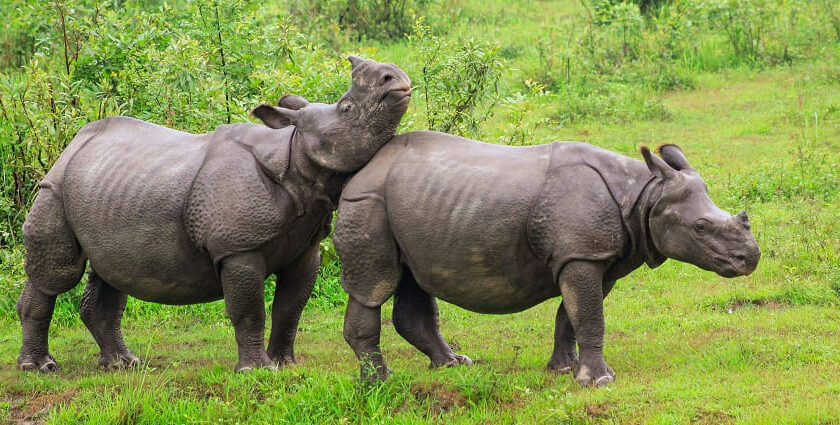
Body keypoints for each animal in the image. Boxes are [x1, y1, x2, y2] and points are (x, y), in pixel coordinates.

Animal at [15, 55, 410, 372]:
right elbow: (250, 310)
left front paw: (286, 365)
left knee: (111, 270)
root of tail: (74, 144)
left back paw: (122, 364)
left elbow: (290, 308)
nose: (396, 79)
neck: (295, 158)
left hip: (106, 188)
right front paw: (257, 371)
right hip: (55, 187)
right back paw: (40, 367)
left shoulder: (305, 247)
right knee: (56, 273)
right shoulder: (238, 247)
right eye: (347, 109)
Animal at [334, 134, 760, 386]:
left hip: (409, 205)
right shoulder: (581, 253)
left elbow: (571, 315)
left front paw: (564, 369)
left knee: (412, 280)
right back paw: (380, 382)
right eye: (701, 227)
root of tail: (363, 168)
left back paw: (455, 365)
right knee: (375, 284)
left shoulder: (591, 256)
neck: (643, 194)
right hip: (366, 201)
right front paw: (599, 381)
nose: (750, 258)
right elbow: (589, 315)